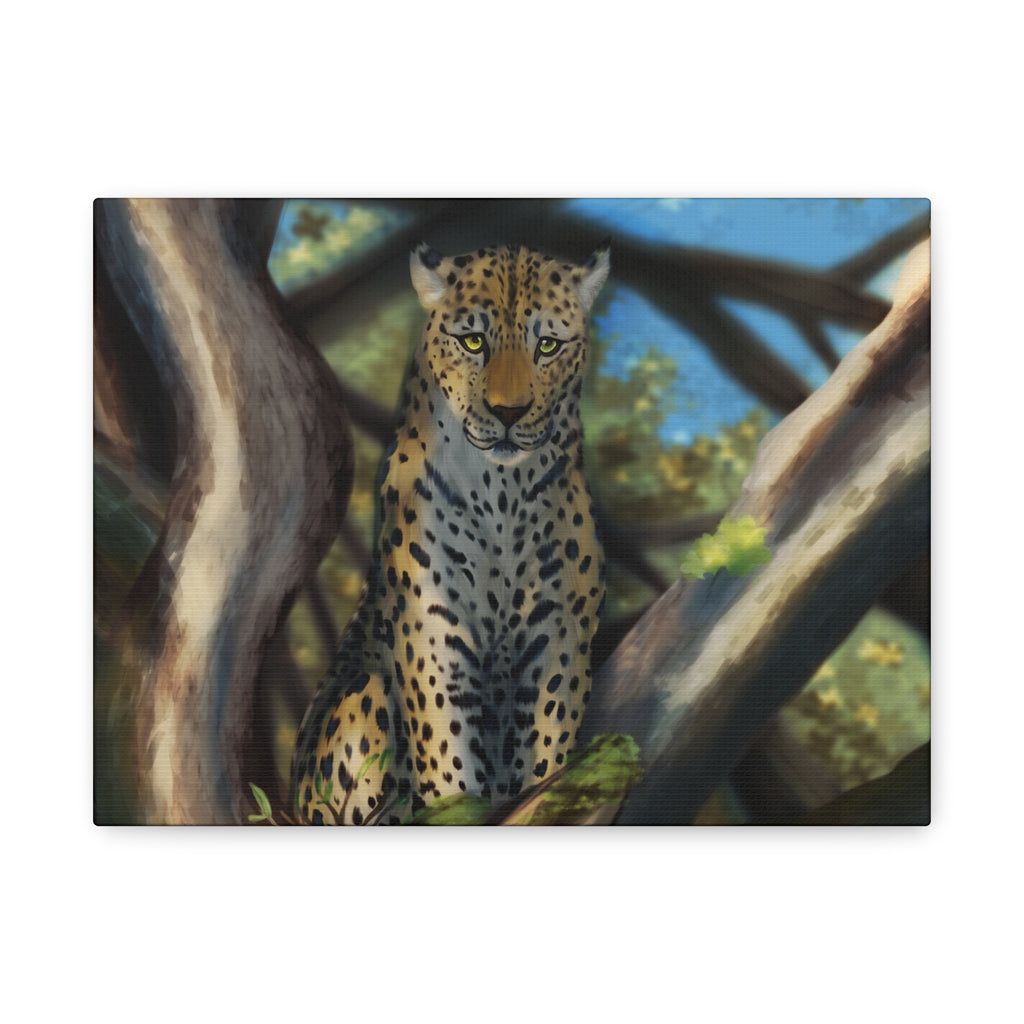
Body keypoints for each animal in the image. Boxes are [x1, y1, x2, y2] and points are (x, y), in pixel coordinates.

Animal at [292, 241, 611, 824]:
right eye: (473, 341)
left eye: (548, 345)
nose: (508, 413)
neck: (503, 491)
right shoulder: (433, 630)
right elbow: (449, 757)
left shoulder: (559, 630)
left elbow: (548, 745)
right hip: (360, 700)